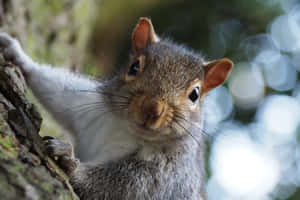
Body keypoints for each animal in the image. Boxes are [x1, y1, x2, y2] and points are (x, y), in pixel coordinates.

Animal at [0, 17, 233, 200]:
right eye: (134, 67)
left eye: (195, 94)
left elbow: (121, 188)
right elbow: (59, 93)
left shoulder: (167, 178)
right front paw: (19, 56)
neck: (126, 130)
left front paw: (70, 163)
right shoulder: (87, 107)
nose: (152, 108)